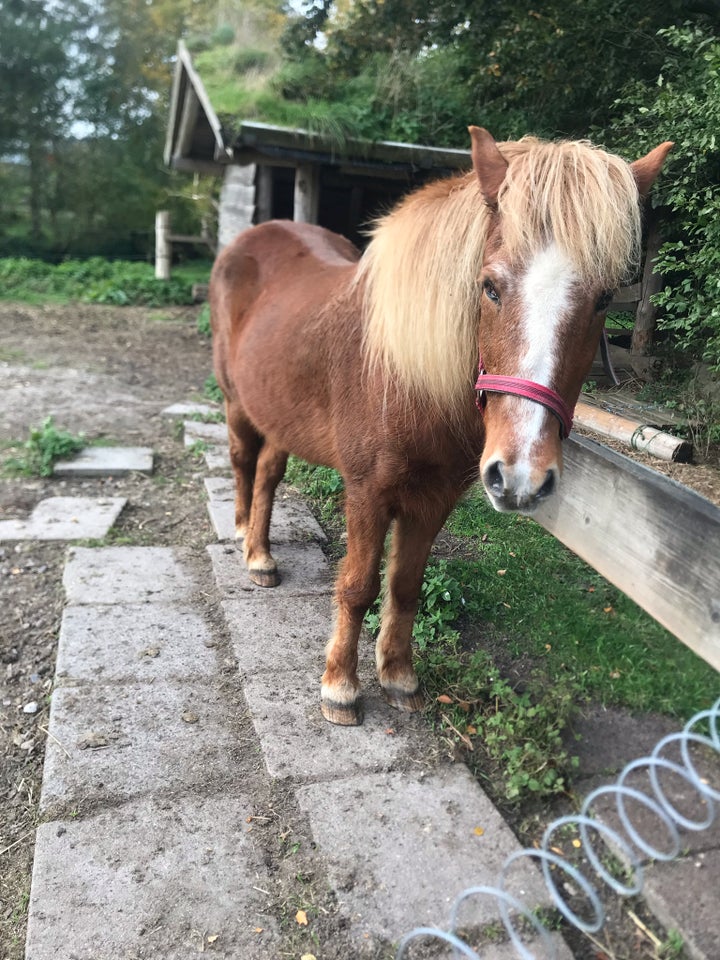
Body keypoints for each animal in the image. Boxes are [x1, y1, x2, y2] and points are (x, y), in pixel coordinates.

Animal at [211, 129, 672, 728]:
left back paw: (263, 557)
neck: (408, 380)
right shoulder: (367, 492)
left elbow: (405, 585)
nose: (521, 476)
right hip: (236, 403)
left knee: (268, 473)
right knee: (245, 464)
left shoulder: (434, 498)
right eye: (490, 287)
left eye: (603, 299)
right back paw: (245, 541)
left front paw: (398, 677)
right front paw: (340, 688)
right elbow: (358, 586)